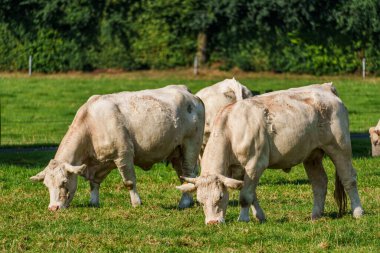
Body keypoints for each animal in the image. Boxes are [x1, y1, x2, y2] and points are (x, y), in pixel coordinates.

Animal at [30, 85, 205, 211]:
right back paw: (187, 200)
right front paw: (93, 202)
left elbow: (129, 182)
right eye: (46, 185)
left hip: (191, 145)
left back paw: (184, 203)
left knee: (189, 172)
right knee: (183, 176)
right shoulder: (99, 163)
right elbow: (94, 183)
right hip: (176, 151)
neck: (91, 125)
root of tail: (188, 92)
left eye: (64, 182)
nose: (53, 208)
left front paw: (136, 203)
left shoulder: (123, 155)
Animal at [178, 82, 366, 223]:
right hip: (312, 155)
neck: (231, 129)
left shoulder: (255, 164)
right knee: (319, 182)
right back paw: (315, 215)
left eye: (220, 197)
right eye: (200, 201)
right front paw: (259, 216)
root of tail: (326, 88)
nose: (212, 223)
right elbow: (251, 193)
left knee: (349, 178)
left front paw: (243, 219)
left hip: (339, 147)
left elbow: (245, 196)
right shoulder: (240, 171)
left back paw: (358, 212)